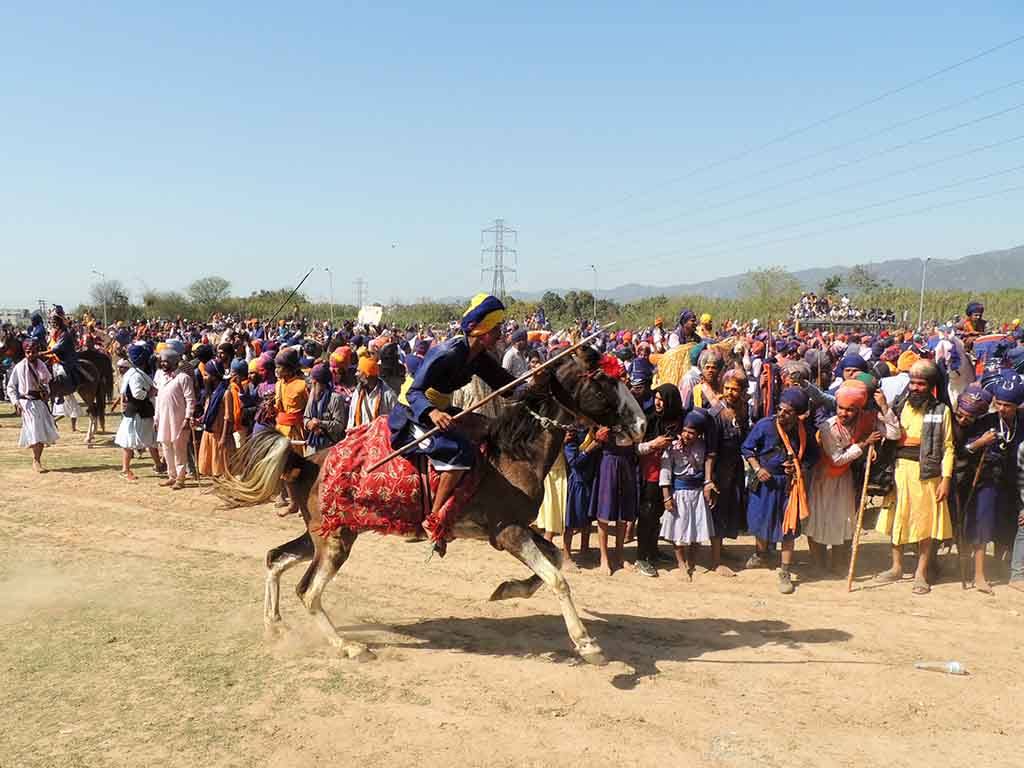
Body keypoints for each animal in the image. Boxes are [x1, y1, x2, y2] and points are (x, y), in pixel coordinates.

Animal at [215, 348, 643, 667]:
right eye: (604, 380)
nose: (640, 424)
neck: (513, 451)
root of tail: (306, 463)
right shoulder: (507, 532)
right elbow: (557, 578)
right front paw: (587, 644)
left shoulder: (517, 528)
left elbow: (554, 560)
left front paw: (507, 590)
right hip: (336, 540)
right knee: (307, 590)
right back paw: (349, 647)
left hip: (324, 534)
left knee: (275, 559)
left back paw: (275, 628)